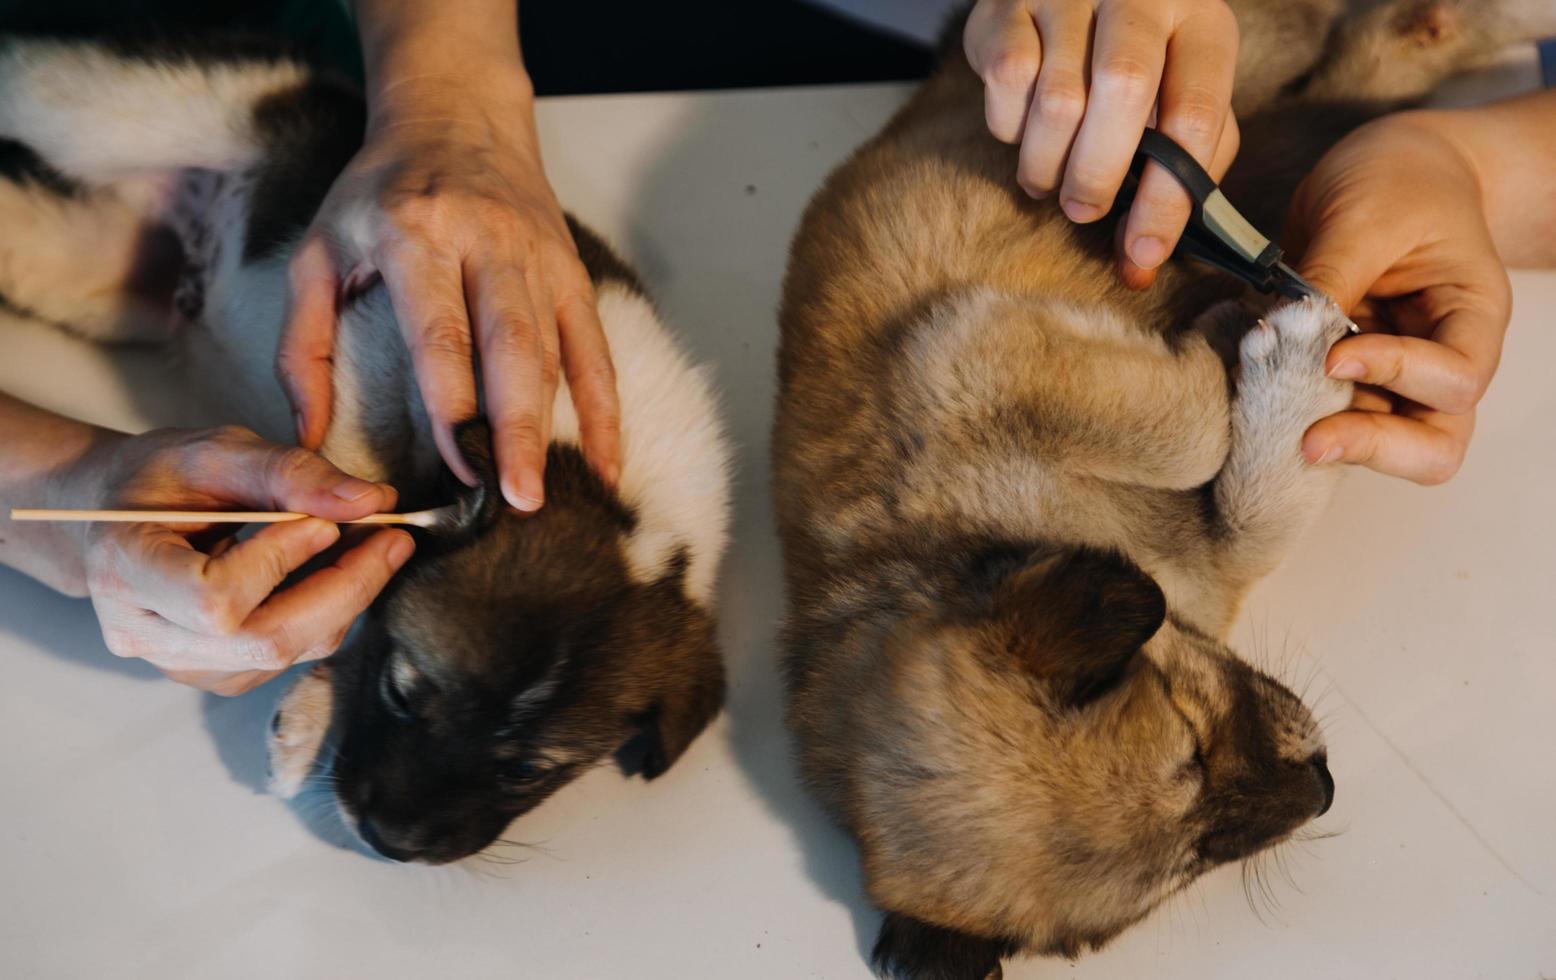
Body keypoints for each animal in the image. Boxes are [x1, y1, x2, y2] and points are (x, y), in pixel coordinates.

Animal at [0, 36, 731, 864]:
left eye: (526, 772)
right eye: (402, 694)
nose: (390, 842)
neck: (613, 490)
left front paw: (312, 704)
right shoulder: (368, 336)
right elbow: (357, 510)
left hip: (102, 278)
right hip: (112, 108)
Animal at [771, 1, 1549, 980]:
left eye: (1189, 728)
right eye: (1192, 862)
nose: (1326, 787)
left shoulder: (964, 347)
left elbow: (1189, 428)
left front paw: (1249, 353)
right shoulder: (1210, 565)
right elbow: (1252, 502)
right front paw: (1283, 383)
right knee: (1360, 83)